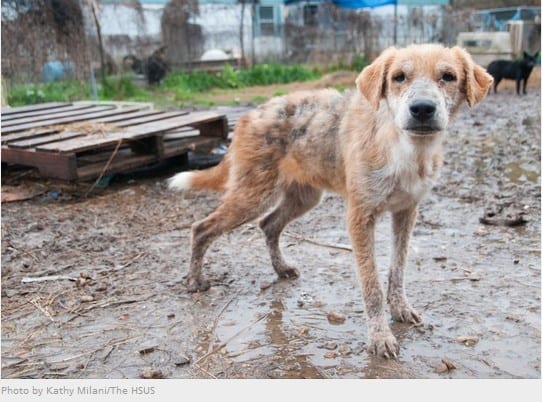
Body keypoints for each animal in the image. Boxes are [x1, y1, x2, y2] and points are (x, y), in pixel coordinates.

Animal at [168, 43, 496, 358]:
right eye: (399, 77)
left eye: (448, 77)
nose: (422, 109)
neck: (403, 147)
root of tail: (251, 114)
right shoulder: (360, 217)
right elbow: (372, 286)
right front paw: (380, 337)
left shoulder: (406, 212)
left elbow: (397, 270)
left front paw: (400, 309)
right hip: (253, 196)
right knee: (202, 227)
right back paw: (195, 281)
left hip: (304, 197)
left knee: (268, 225)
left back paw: (281, 268)